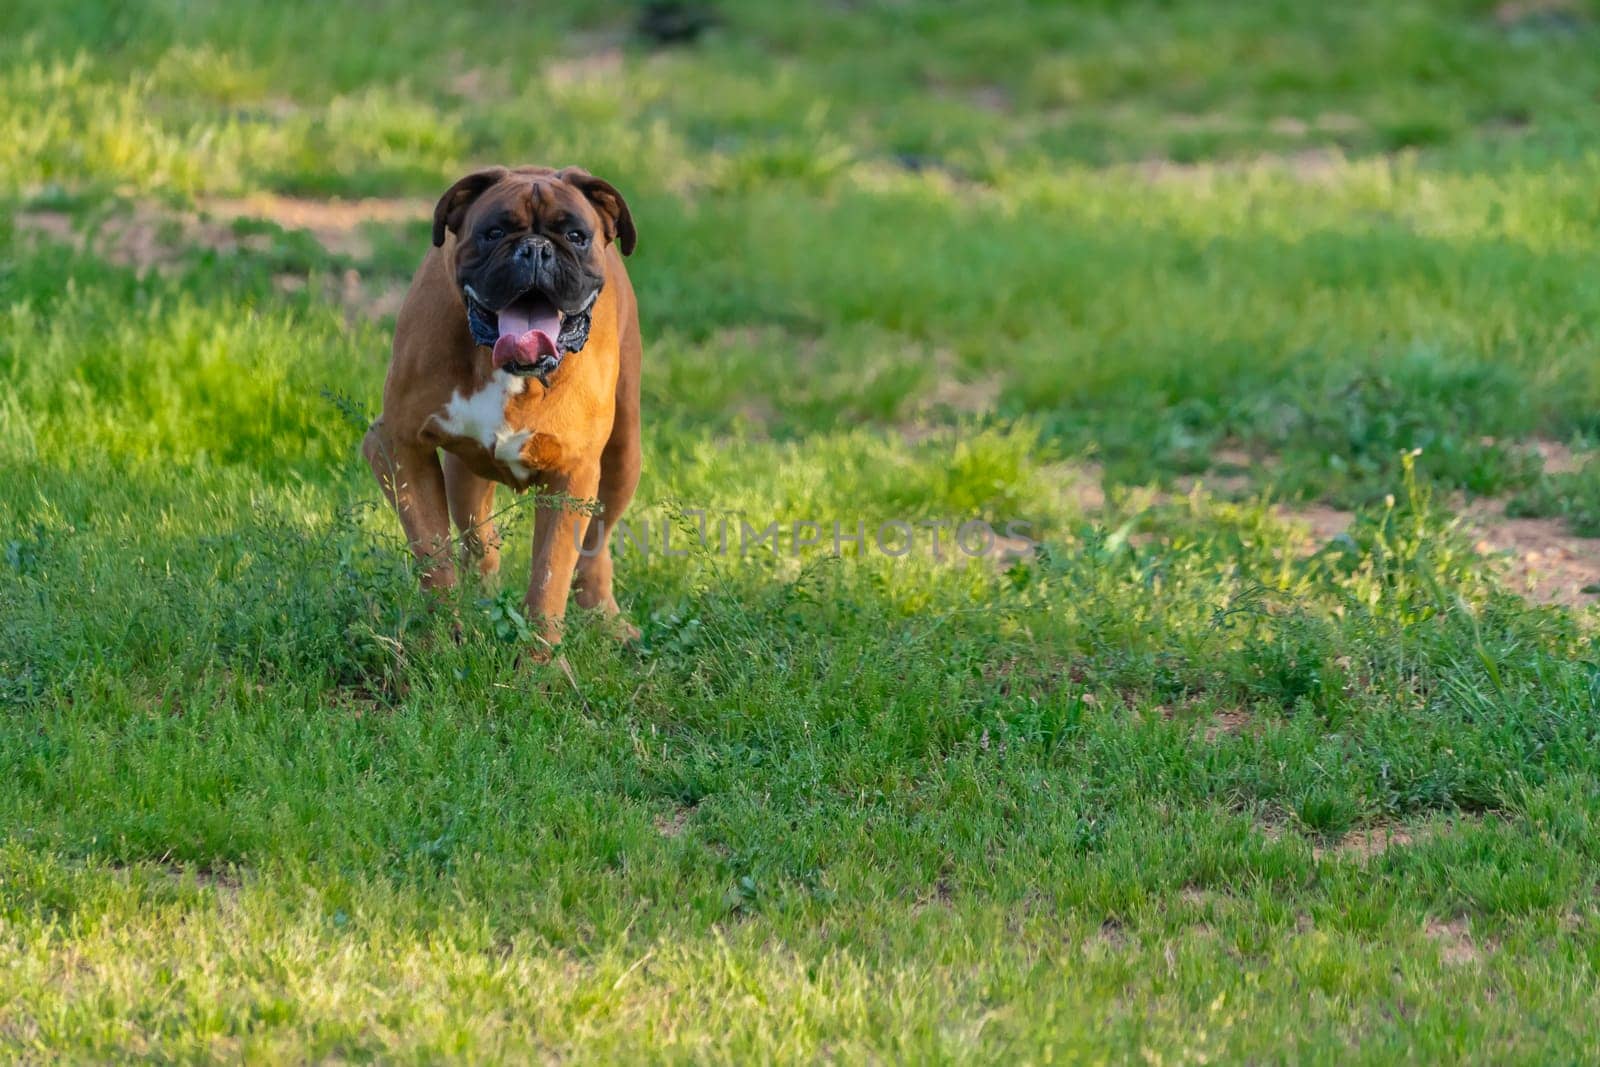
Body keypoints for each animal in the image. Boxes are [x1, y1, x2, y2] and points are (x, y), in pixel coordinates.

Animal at [360, 164, 640, 652]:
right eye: (493, 232)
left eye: (575, 235)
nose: (536, 249)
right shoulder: (398, 447)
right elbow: (432, 551)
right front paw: (441, 639)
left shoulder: (572, 477)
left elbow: (550, 576)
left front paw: (541, 662)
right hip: (463, 477)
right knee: (480, 538)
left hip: (624, 455)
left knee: (595, 545)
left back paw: (604, 616)